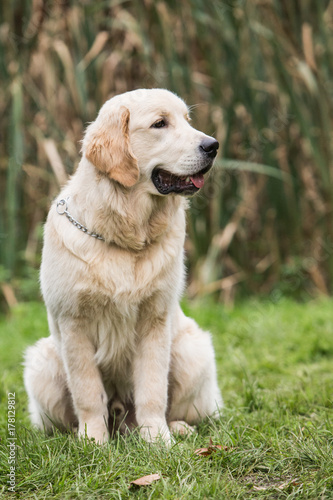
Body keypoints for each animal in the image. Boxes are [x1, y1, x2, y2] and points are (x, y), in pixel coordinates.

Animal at [24, 88, 223, 444]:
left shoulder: (155, 319)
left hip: (193, 350)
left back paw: (175, 428)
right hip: (42, 364)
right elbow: (88, 392)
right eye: (160, 124)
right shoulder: (73, 324)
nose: (213, 145)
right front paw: (93, 441)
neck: (125, 238)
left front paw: (158, 439)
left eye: (187, 120)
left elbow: (153, 389)